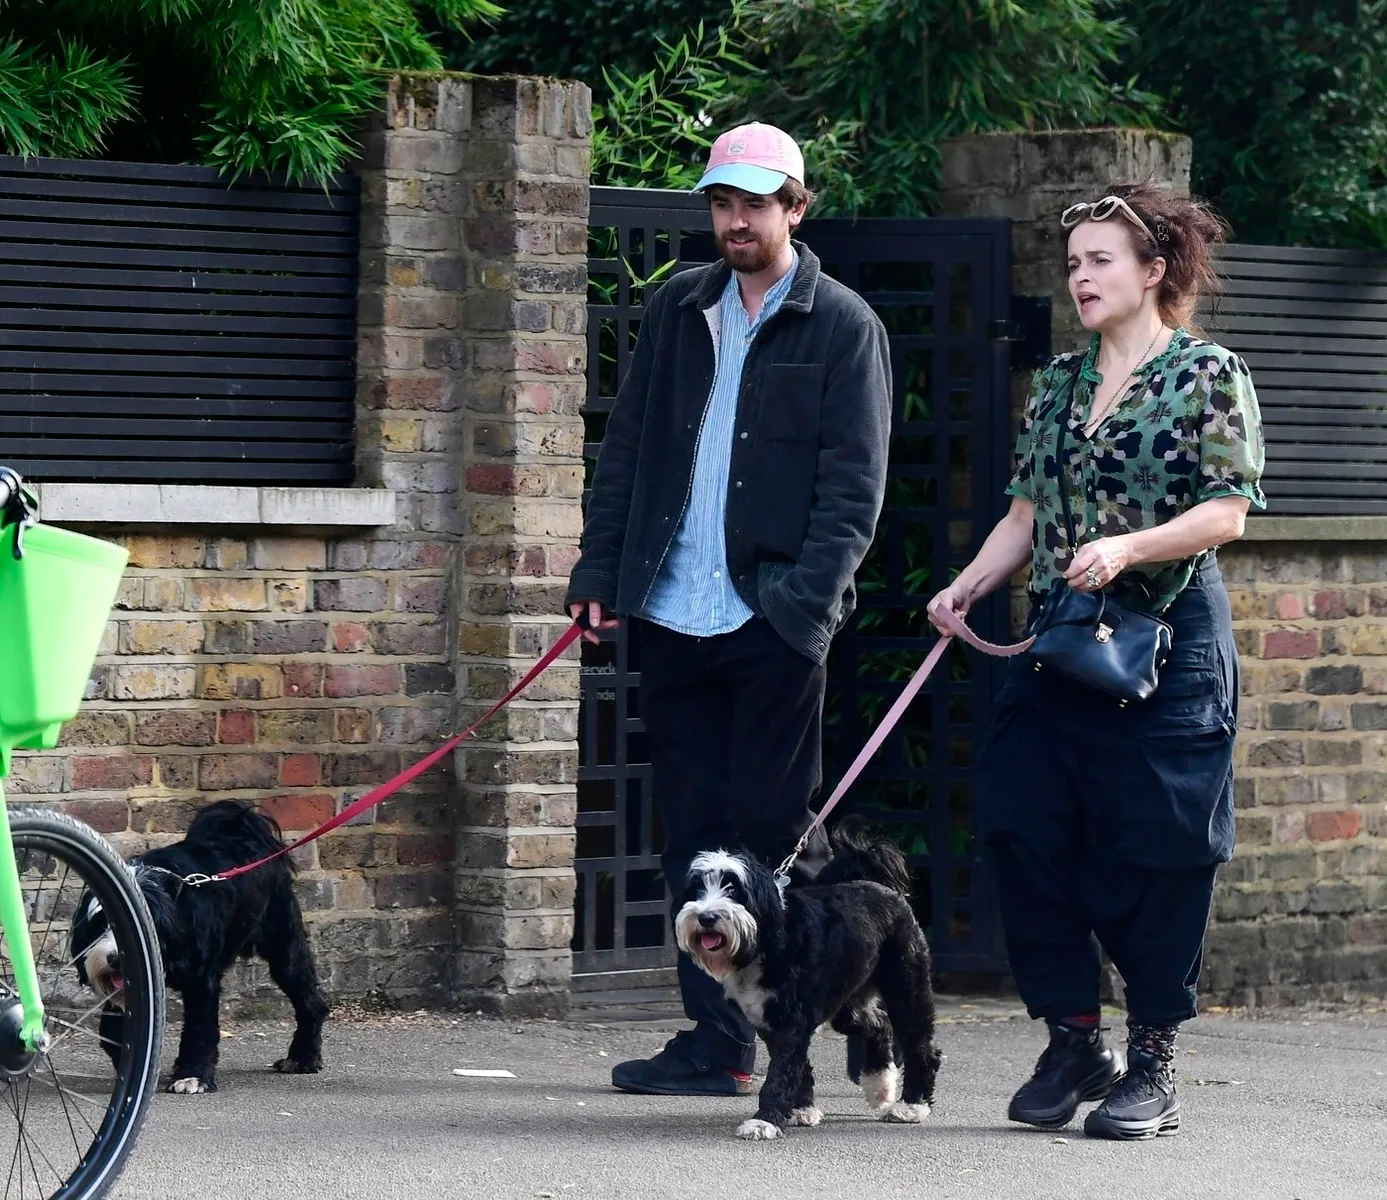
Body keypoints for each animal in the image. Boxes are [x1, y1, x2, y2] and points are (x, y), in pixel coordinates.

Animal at [72, 799, 327, 1093]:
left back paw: (302, 1057)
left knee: (311, 1003)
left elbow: (200, 1029)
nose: (116, 958)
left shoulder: (202, 981)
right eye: (98, 925)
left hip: (284, 950)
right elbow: (115, 1027)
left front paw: (193, 1075)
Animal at [674, 821, 943, 1137]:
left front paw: (765, 1120)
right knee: (879, 1023)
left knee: (920, 1045)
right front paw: (800, 1110)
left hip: (905, 986)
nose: (706, 917)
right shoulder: (772, 1023)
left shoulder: (791, 1021)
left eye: (733, 889)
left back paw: (912, 1105)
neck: (767, 937)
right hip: (846, 1000)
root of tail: (882, 888)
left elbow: (781, 1071)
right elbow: (797, 1067)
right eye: (697, 889)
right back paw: (880, 1086)